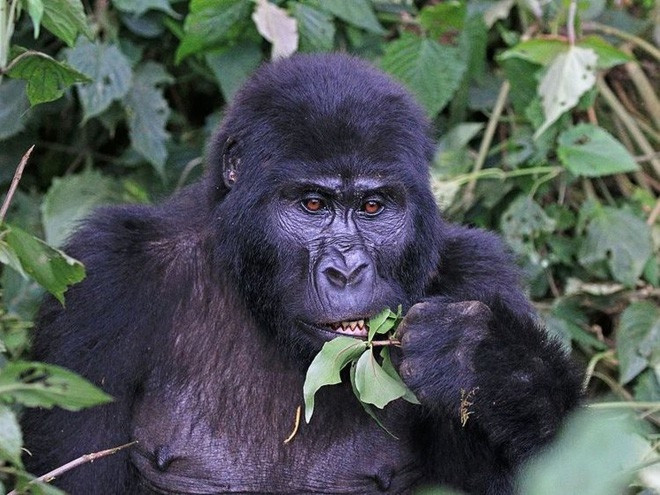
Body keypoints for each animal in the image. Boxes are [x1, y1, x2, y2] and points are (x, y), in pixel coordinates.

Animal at [20, 55, 580, 495]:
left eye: (373, 206)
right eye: (313, 204)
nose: (347, 269)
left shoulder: (478, 274)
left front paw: (484, 357)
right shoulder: (103, 282)